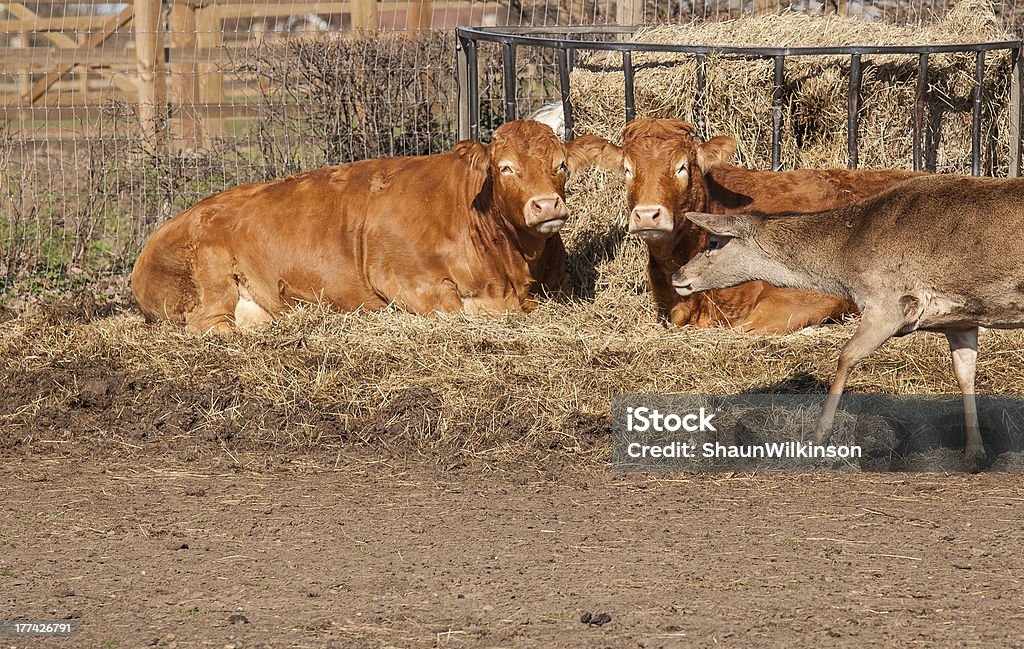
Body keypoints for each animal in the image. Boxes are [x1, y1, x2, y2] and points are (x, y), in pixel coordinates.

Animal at [671, 171, 1024, 464]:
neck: (846, 262)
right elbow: (965, 374)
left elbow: (846, 355)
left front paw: (818, 438)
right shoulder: (960, 319)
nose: (677, 275)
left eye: (712, 242)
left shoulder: (889, 303)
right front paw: (974, 455)